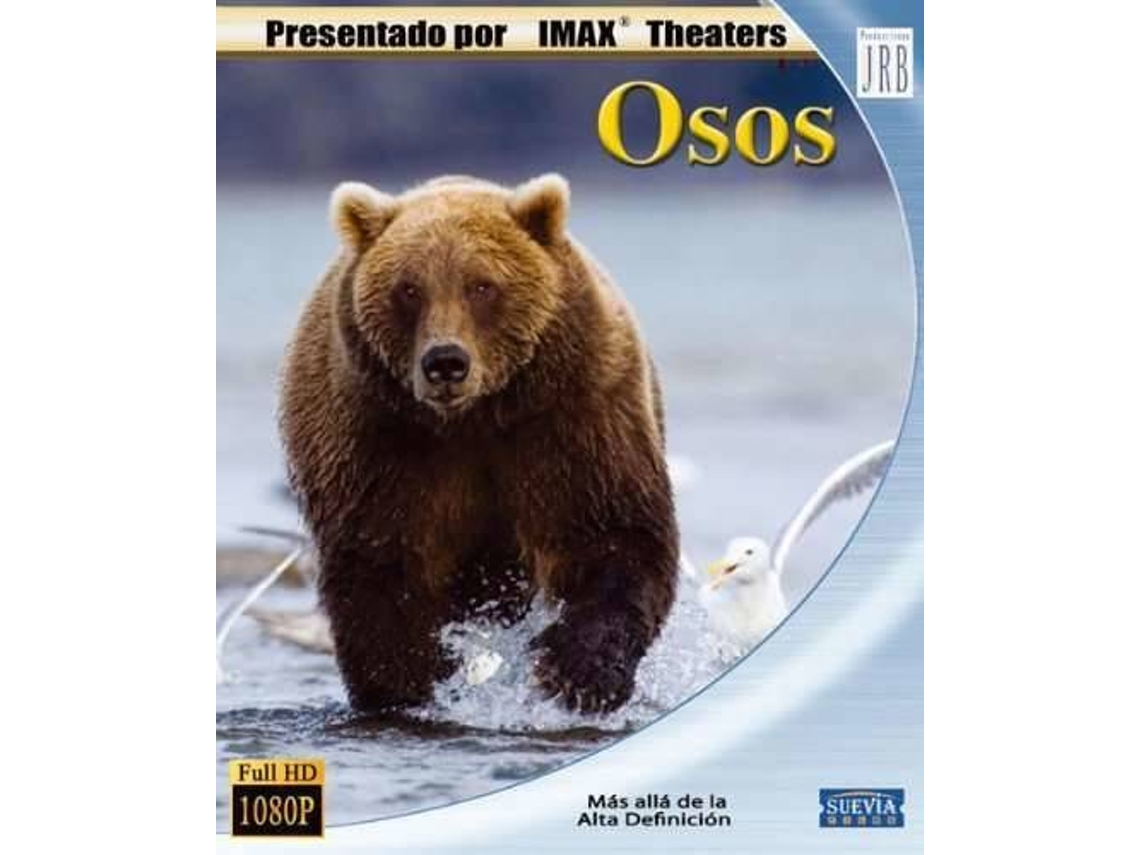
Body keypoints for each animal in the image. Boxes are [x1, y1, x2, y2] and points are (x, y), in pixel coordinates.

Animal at [279, 174, 678, 714]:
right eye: (409, 288)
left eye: (483, 285)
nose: (445, 361)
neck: (477, 415)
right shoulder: (375, 439)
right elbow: (383, 567)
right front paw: (408, 686)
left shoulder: (574, 416)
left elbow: (610, 532)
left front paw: (578, 672)